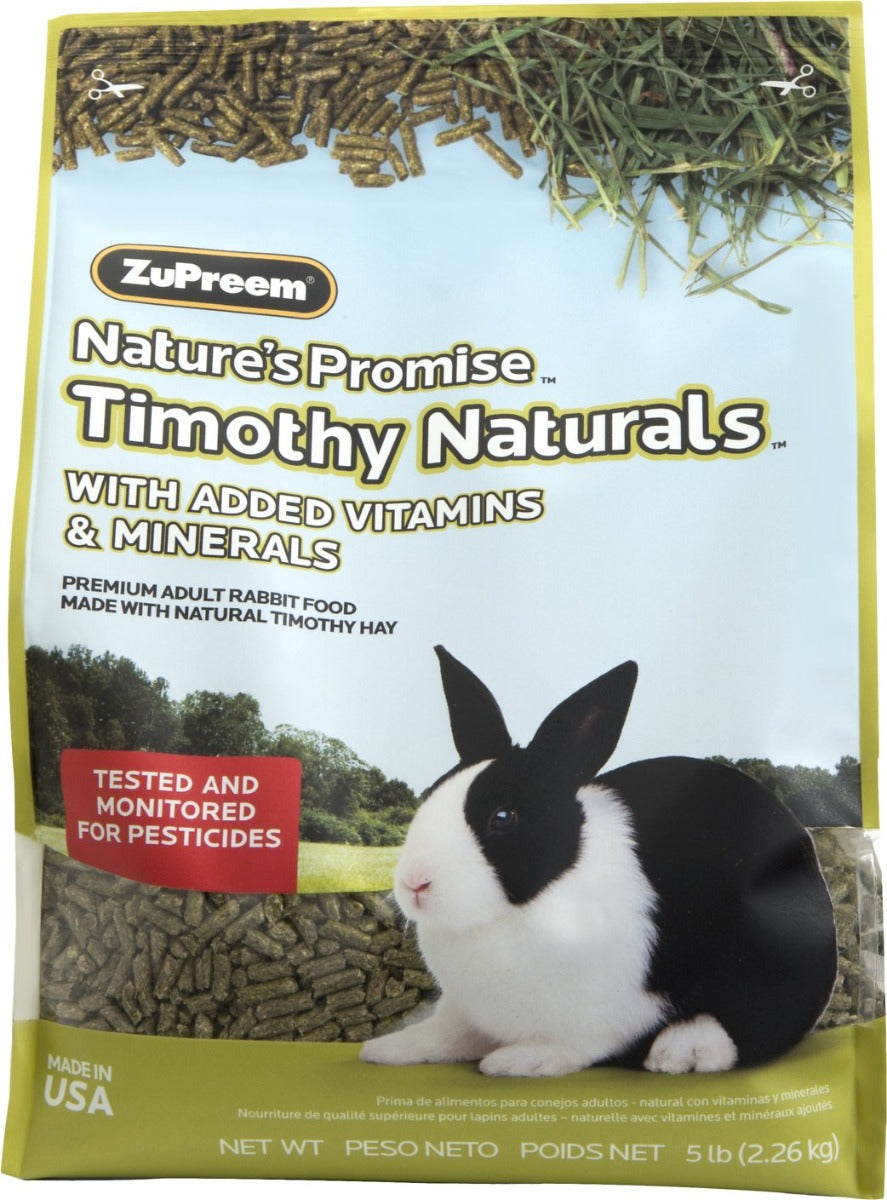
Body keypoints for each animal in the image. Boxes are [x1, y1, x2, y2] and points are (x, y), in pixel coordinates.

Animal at [360, 646, 837, 1077]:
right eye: (430, 793)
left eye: (504, 817)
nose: (414, 884)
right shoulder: (466, 1010)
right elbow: (448, 1034)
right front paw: (385, 1049)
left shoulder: (605, 1012)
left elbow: (574, 1046)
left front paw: (521, 1060)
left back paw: (681, 1051)